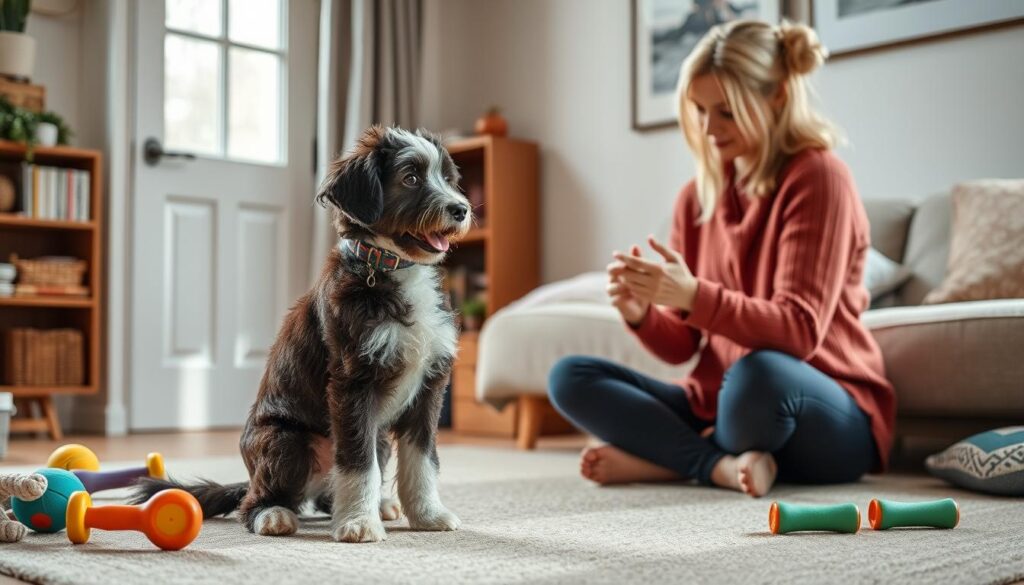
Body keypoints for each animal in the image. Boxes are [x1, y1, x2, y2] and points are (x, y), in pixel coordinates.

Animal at [132, 126, 471, 540]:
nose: (461, 209)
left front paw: (427, 515)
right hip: (287, 440)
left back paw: (376, 505)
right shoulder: (352, 381)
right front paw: (359, 523)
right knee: (256, 500)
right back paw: (273, 515)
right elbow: (357, 460)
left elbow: (422, 458)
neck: (390, 268)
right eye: (410, 178)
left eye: (448, 179)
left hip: (374, 438)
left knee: (331, 491)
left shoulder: (429, 386)